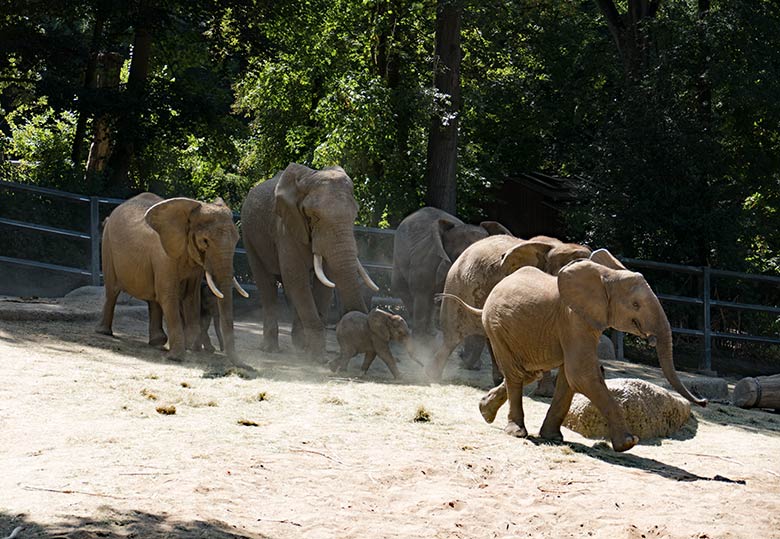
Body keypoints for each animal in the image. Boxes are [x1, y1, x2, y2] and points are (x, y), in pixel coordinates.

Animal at [97, 193, 248, 362]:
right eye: (205, 241)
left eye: (237, 240)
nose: (242, 364)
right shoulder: (164, 256)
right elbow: (169, 296)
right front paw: (177, 357)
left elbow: (191, 297)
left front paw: (191, 349)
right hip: (107, 246)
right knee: (112, 291)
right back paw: (104, 332)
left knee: (154, 299)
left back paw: (157, 342)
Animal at [242, 162, 380, 360]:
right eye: (314, 217)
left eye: (354, 216)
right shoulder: (285, 227)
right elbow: (296, 279)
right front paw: (317, 357)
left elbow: (324, 283)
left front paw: (311, 353)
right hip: (249, 237)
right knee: (267, 284)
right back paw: (271, 349)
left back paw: (298, 345)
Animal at [390, 207, 512, 346]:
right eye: (459, 257)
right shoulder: (425, 266)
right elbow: (422, 297)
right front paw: (421, 345)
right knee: (404, 292)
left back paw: (432, 333)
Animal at [438, 251, 708, 454]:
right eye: (635, 305)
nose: (703, 401)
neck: (606, 276)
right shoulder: (573, 317)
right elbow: (582, 374)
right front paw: (629, 443)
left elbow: (570, 377)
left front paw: (553, 438)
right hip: (495, 326)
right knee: (516, 374)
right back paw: (516, 432)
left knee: (527, 372)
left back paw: (485, 411)